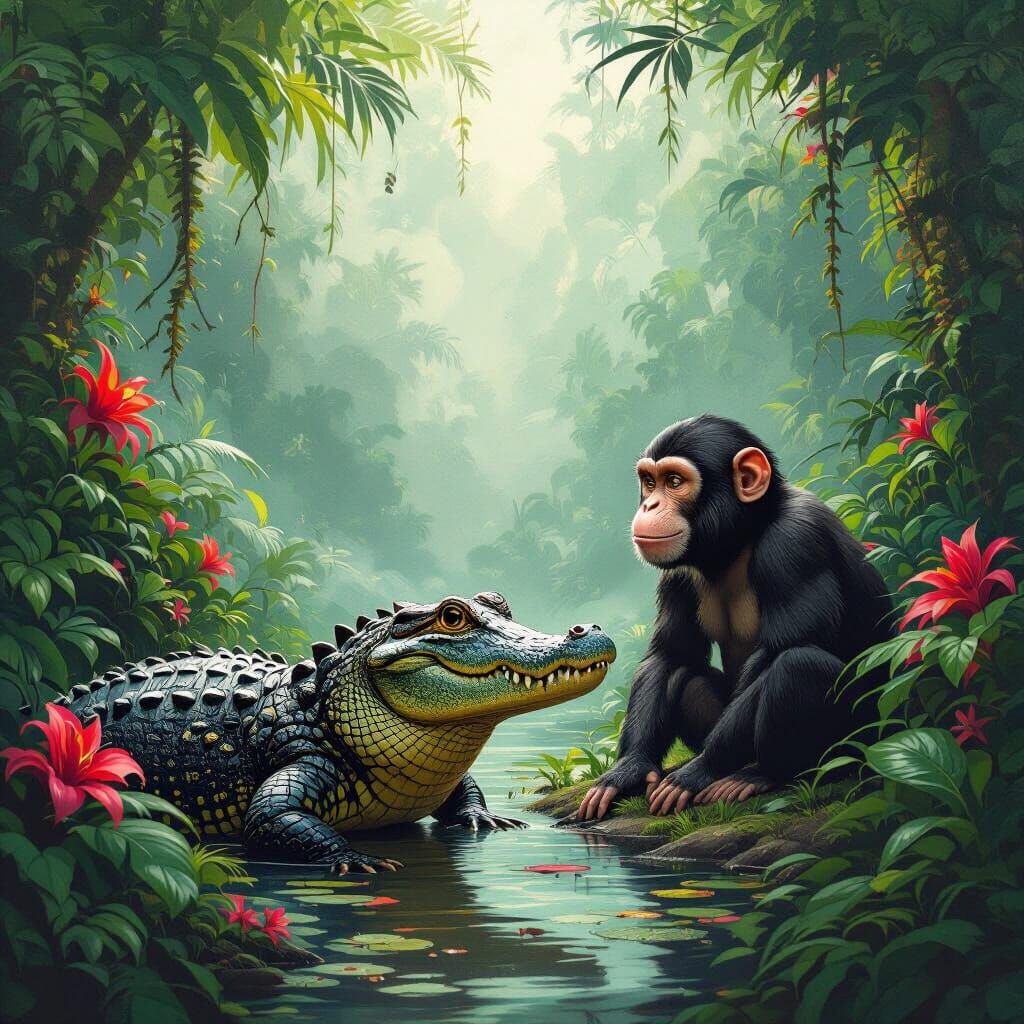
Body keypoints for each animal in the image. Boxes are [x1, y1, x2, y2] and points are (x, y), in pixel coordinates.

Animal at [578, 414, 892, 821]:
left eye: (674, 482)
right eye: (649, 482)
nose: (650, 504)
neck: (741, 536)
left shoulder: (794, 543)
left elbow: (778, 653)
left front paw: (699, 771)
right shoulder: (677, 574)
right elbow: (670, 653)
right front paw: (630, 768)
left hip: (861, 741)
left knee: (797, 664)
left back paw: (757, 774)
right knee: (687, 675)